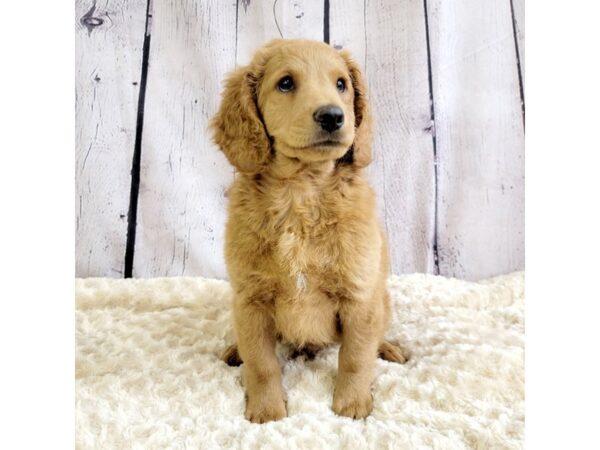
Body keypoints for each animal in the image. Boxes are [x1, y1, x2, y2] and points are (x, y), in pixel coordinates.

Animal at [212, 38, 408, 422]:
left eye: (341, 84)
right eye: (286, 83)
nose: (332, 116)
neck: (301, 193)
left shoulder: (360, 297)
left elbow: (356, 356)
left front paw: (351, 405)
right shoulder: (250, 300)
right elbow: (261, 363)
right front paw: (267, 410)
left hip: (382, 298)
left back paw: (390, 348)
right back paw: (234, 351)